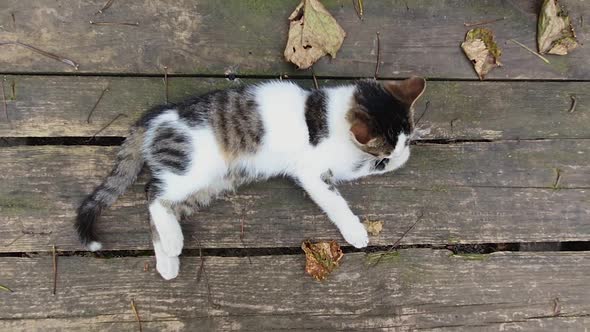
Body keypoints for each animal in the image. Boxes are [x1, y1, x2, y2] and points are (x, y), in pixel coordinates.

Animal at [76, 76, 428, 278]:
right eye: (385, 147)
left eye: (405, 134)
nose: (402, 147)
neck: (325, 113)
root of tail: (155, 118)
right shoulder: (313, 172)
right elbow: (334, 199)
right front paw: (355, 231)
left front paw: (404, 153)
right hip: (193, 169)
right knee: (153, 194)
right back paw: (173, 242)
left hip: (210, 185)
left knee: (165, 204)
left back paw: (168, 260)